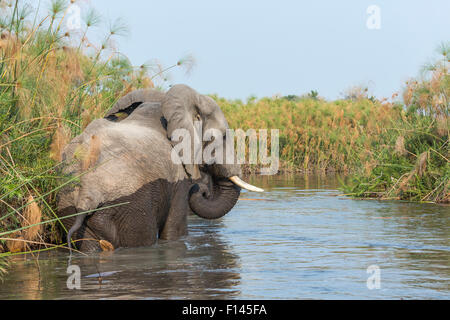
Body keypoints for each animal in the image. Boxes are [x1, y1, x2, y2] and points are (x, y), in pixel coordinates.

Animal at [56, 84, 262, 251]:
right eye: (223, 136)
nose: (202, 190)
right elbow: (174, 232)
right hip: (131, 206)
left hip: (68, 207)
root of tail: (87, 196)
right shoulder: (177, 178)